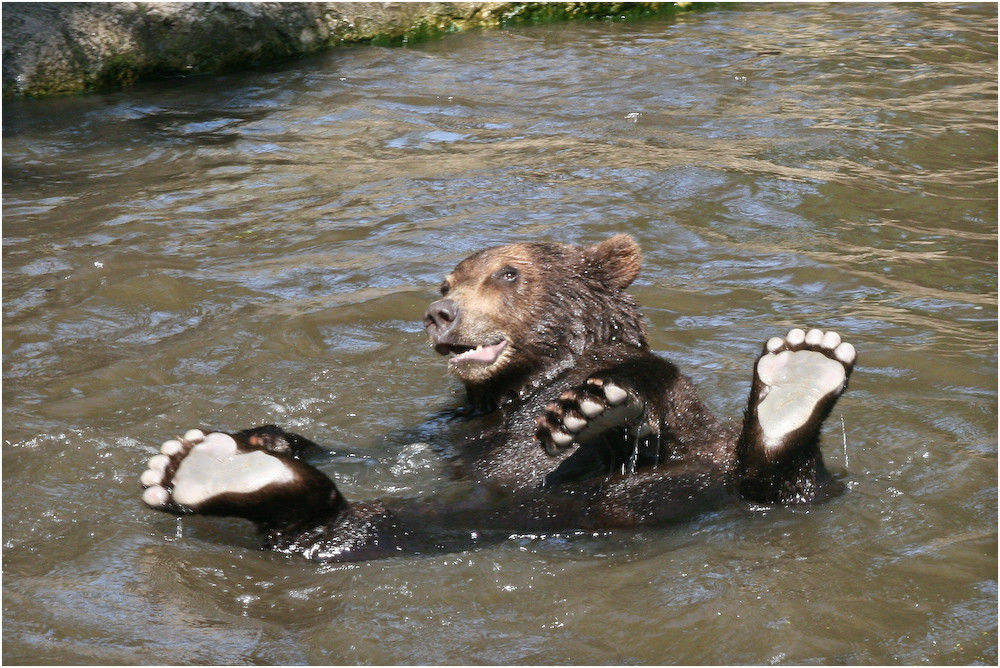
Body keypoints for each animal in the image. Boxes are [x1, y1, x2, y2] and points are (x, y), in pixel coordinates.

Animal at [141, 237, 856, 560]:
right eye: (447, 280)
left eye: (508, 274)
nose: (440, 313)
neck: (520, 385)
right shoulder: (452, 424)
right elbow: (381, 447)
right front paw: (267, 434)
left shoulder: (638, 385)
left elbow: (650, 398)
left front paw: (594, 411)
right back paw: (206, 468)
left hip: (668, 488)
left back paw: (799, 377)